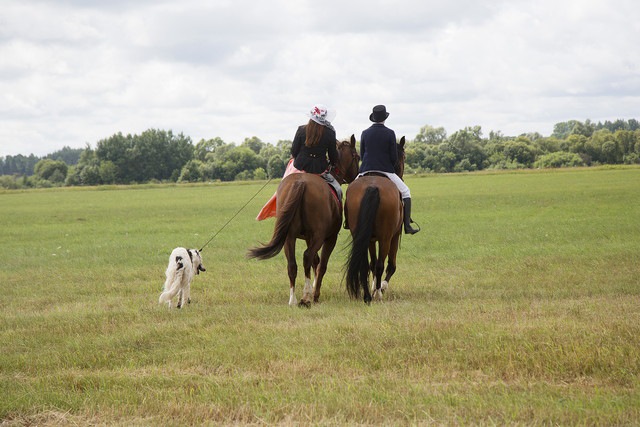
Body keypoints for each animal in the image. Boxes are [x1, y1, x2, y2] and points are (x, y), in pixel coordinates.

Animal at [248, 135, 360, 306]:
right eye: (357, 157)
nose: (357, 176)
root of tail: (300, 182)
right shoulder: (329, 238)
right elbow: (321, 264)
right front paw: (315, 293)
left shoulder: (308, 237)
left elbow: (315, 261)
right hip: (318, 236)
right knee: (307, 257)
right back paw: (306, 297)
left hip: (289, 236)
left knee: (292, 265)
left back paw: (293, 299)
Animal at [344, 137, 404, 304]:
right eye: (404, 157)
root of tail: (372, 186)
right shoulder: (395, 235)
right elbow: (391, 265)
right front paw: (381, 287)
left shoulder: (370, 239)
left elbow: (371, 263)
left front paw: (374, 287)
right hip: (385, 238)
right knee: (380, 265)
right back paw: (377, 294)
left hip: (361, 235)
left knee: (365, 265)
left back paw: (367, 296)